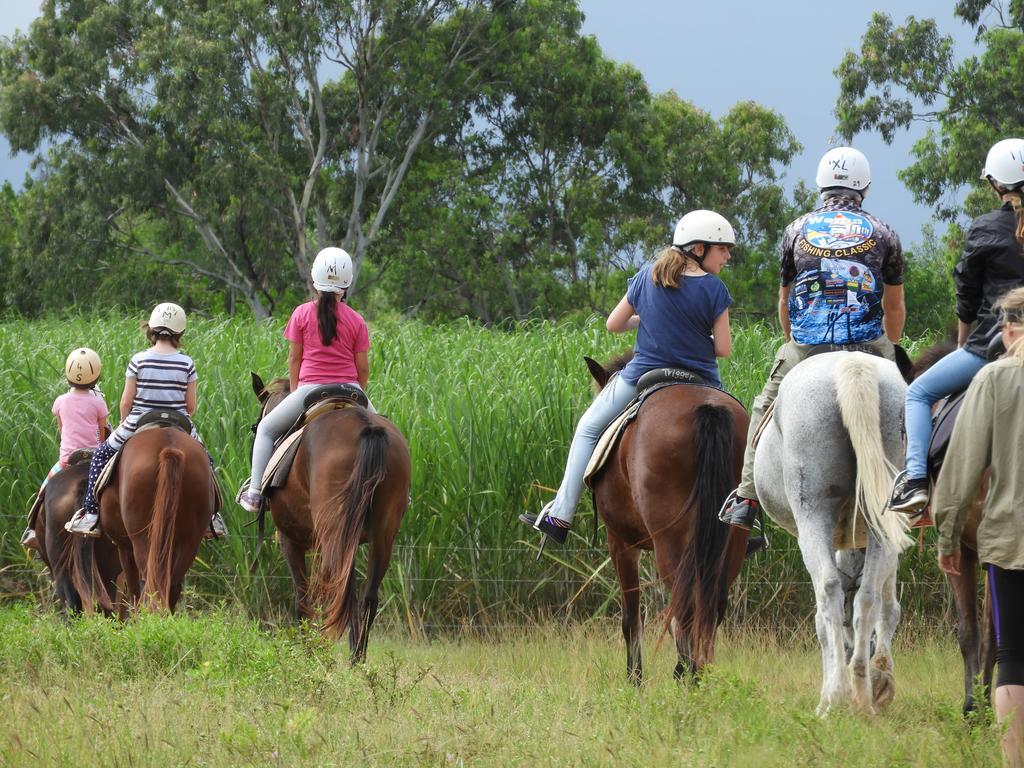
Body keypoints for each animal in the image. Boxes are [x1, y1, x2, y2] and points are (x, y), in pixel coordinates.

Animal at [98, 428, 217, 614]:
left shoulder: (123, 547)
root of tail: (169, 449)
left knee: (148, 580)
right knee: (172, 582)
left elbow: (132, 587)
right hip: (190, 539)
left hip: (141, 538)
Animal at [249, 374, 409, 663]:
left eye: (255, 428)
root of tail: (366, 426)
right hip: (381, 534)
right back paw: (358, 659)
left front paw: (308, 651)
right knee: (367, 596)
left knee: (341, 591)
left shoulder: (290, 539)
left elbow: (303, 598)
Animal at [585, 356, 753, 684]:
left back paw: (687, 674)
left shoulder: (620, 543)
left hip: (669, 542)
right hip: (732, 540)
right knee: (711, 607)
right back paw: (700, 675)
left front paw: (634, 680)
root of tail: (707, 408)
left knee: (684, 606)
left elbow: (631, 618)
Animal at [753, 354, 913, 716]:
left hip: (813, 515)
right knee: (868, 596)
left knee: (829, 592)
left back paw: (835, 697)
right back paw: (864, 695)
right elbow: (887, 607)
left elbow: (825, 622)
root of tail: (853, 364)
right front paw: (881, 680)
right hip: (881, 517)